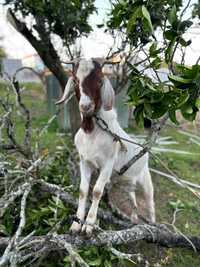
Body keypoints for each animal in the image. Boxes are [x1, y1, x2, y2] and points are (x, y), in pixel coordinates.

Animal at [56, 59, 156, 236]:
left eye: (99, 81)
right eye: (75, 80)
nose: (86, 106)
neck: (92, 132)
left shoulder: (107, 165)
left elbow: (96, 191)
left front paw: (89, 225)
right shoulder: (84, 162)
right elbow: (83, 190)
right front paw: (76, 224)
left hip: (145, 179)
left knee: (150, 199)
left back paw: (152, 224)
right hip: (127, 184)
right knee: (133, 200)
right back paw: (134, 220)